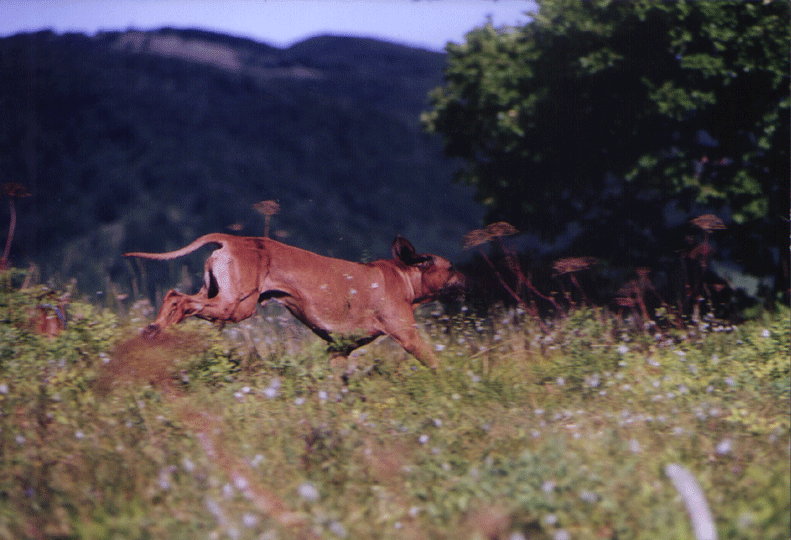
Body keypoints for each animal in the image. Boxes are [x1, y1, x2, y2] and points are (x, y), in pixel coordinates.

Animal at [125, 234, 464, 370]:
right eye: (451, 268)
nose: (467, 276)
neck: (402, 275)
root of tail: (233, 239)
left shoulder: (338, 349)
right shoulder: (408, 336)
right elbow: (435, 363)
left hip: (218, 295)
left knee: (174, 296)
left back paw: (153, 332)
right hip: (235, 306)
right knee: (181, 303)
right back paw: (161, 335)